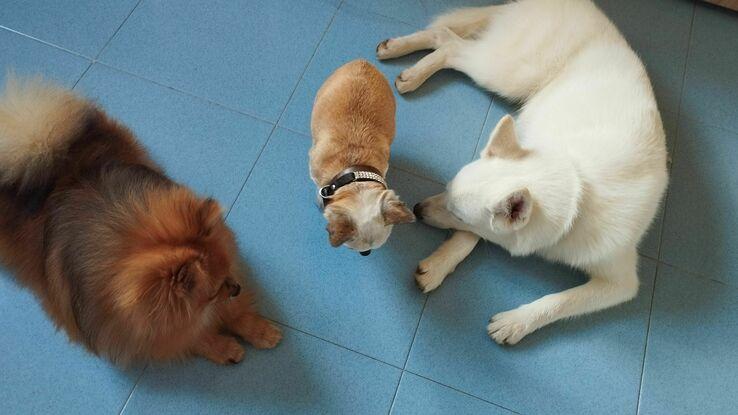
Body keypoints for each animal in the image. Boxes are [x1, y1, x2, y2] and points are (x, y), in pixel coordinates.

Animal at [0, 77, 282, 364]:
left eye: (228, 276)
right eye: (213, 291)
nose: (237, 287)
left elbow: (233, 312)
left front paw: (259, 330)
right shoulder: (144, 332)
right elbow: (192, 338)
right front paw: (224, 348)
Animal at [376, 0, 668, 344]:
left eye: (456, 212)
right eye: (446, 189)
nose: (418, 209)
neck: (580, 191)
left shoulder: (621, 283)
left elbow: (559, 301)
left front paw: (515, 322)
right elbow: (472, 238)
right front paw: (442, 263)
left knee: (448, 40)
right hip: (507, 73)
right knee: (450, 42)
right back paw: (409, 65)